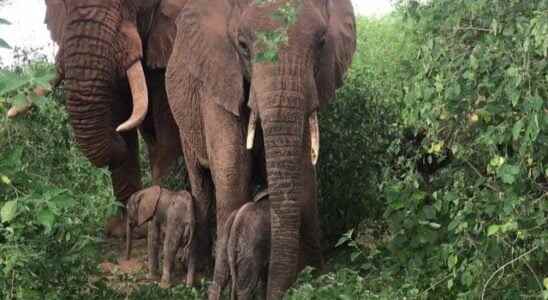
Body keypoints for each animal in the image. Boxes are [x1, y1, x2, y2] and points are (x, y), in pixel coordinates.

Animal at [43, 0, 188, 234]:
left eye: (135, 3)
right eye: (63, 4)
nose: (116, 133)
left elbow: (169, 117)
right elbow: (118, 105)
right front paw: (127, 229)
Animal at [166, 0, 356, 298]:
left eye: (322, 42)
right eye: (243, 45)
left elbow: (304, 172)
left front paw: (317, 276)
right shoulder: (218, 78)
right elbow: (233, 170)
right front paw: (219, 289)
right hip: (184, 120)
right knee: (201, 184)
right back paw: (197, 273)